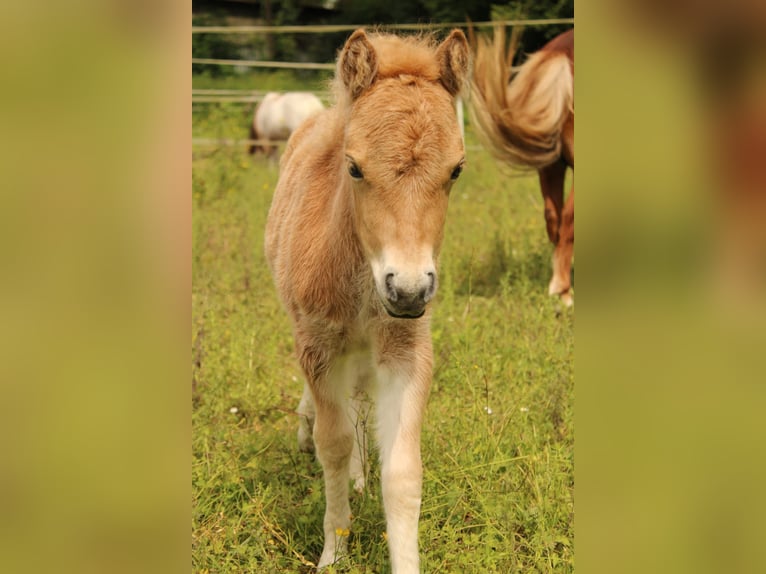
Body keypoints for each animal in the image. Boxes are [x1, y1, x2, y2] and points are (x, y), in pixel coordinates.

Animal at [268, 29, 472, 572]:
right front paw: (333, 552)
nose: (408, 289)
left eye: (457, 170)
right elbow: (332, 444)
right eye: (354, 167)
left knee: (360, 400)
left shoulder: (406, 348)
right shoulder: (317, 345)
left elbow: (401, 470)